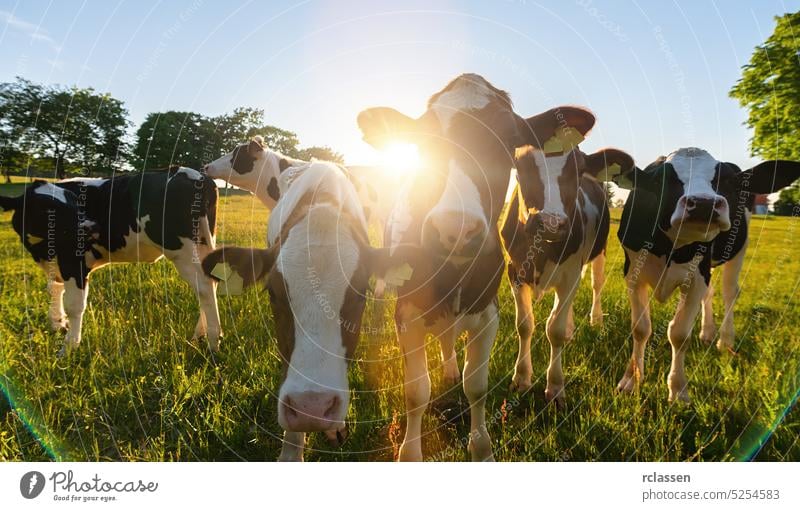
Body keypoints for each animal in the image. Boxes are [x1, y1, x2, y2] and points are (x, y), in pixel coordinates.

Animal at [0, 168, 220, 356]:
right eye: (46, 208)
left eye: (76, 201)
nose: (92, 226)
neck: (42, 250)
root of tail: (193, 173)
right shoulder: (55, 262)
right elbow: (54, 288)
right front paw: (57, 323)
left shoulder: (74, 262)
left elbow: (74, 305)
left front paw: (69, 348)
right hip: (202, 242)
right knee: (211, 282)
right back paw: (200, 334)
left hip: (182, 250)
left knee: (204, 287)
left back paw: (212, 342)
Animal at [356, 74, 556, 462]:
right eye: (423, 139)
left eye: (509, 139)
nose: (456, 229)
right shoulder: (407, 314)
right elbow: (416, 391)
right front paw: (409, 454)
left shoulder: (488, 315)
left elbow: (476, 386)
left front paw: (482, 449)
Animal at [500, 106, 636, 406]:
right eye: (522, 167)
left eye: (578, 170)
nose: (551, 222)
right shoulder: (514, 271)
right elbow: (525, 325)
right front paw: (521, 378)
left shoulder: (571, 272)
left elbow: (555, 330)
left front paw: (555, 387)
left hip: (598, 252)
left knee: (595, 285)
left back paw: (595, 319)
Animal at [612, 148, 800, 404]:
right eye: (662, 179)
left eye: (728, 181)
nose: (703, 203)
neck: (672, 246)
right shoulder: (633, 272)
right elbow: (640, 328)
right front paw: (631, 381)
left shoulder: (697, 277)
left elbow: (679, 334)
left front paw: (678, 390)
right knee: (710, 294)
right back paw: (708, 332)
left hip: (738, 249)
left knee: (730, 292)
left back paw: (725, 340)